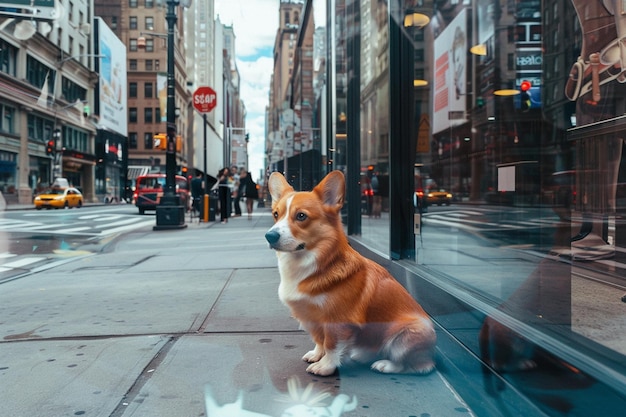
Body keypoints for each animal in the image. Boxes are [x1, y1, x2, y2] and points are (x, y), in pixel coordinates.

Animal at [264, 171, 434, 376]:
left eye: (301, 216)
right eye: (276, 214)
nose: (269, 236)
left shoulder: (337, 321)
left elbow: (331, 344)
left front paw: (325, 366)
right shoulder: (311, 318)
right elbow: (319, 340)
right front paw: (316, 355)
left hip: (407, 335)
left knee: (416, 366)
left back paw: (385, 365)